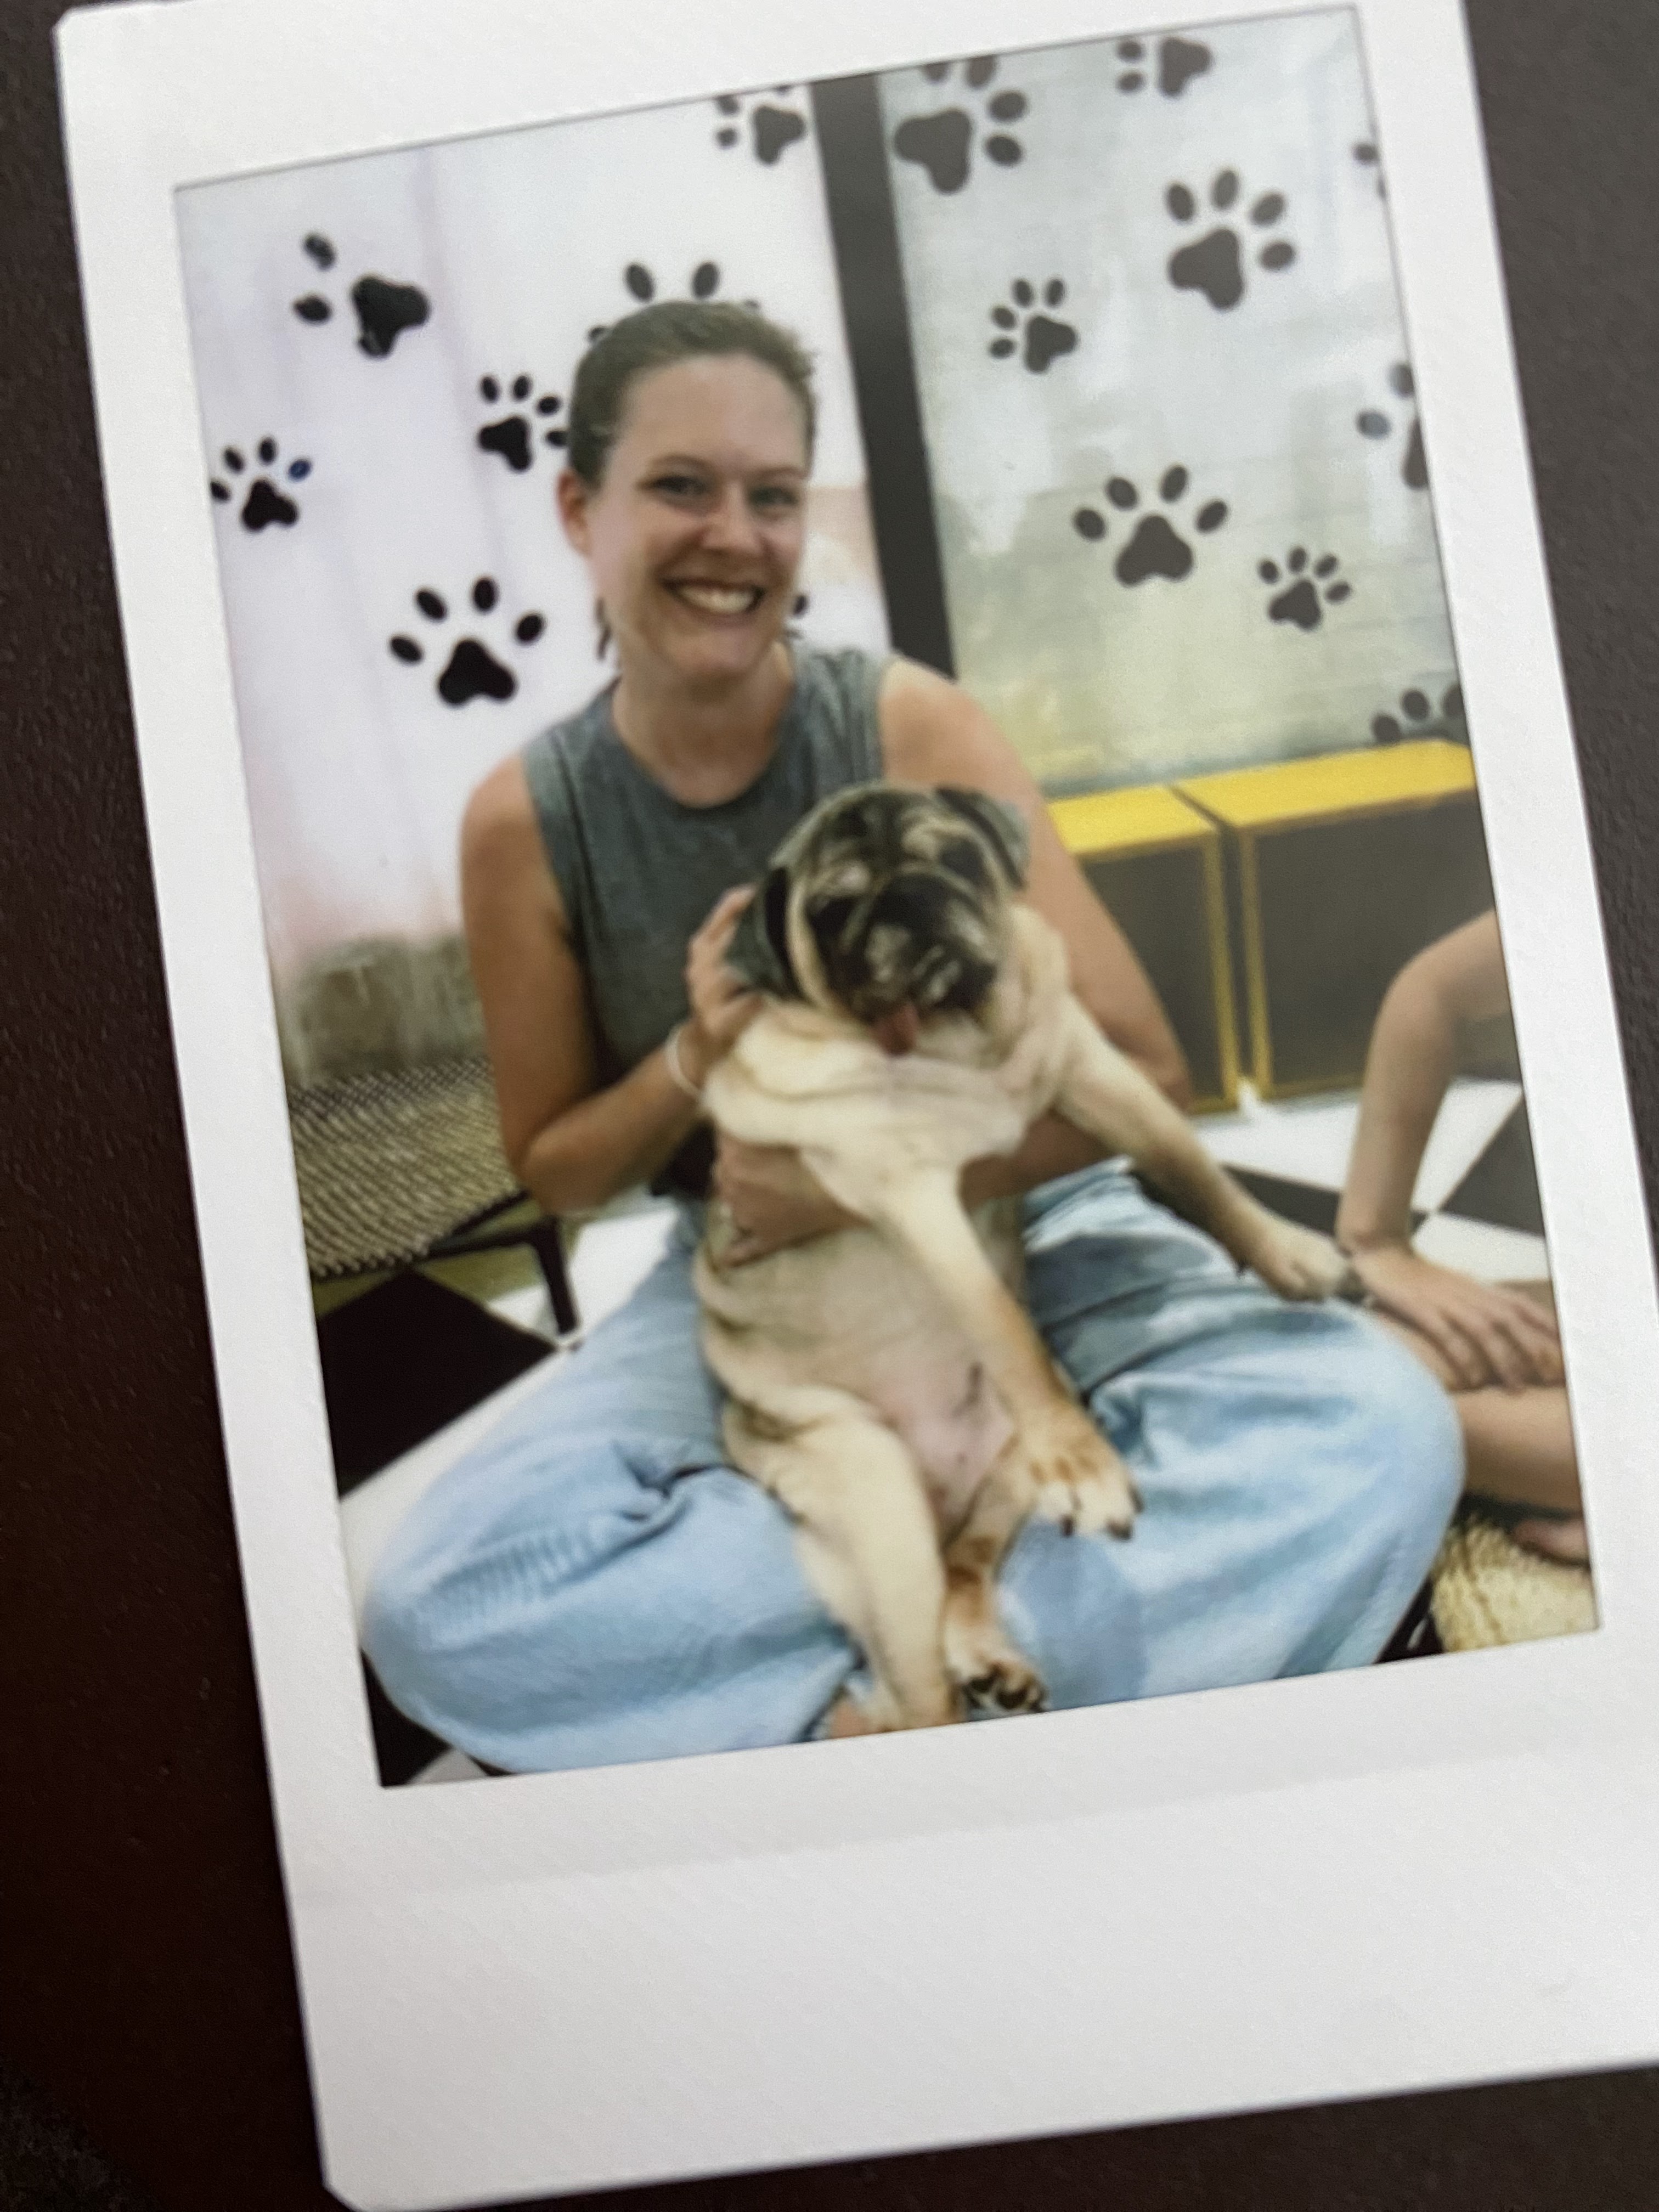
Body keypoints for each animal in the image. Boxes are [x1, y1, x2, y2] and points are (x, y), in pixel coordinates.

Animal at [694, 782, 1352, 1733]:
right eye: (833, 908)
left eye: (954, 857)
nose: (908, 898)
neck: (966, 1042)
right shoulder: (913, 1194)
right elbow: (1002, 1324)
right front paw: (1084, 1463)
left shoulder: (1097, 1074)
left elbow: (1189, 1164)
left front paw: (1285, 1252)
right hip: (876, 1495)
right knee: (915, 1698)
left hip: (999, 1486)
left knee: (962, 1573)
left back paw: (988, 1656)